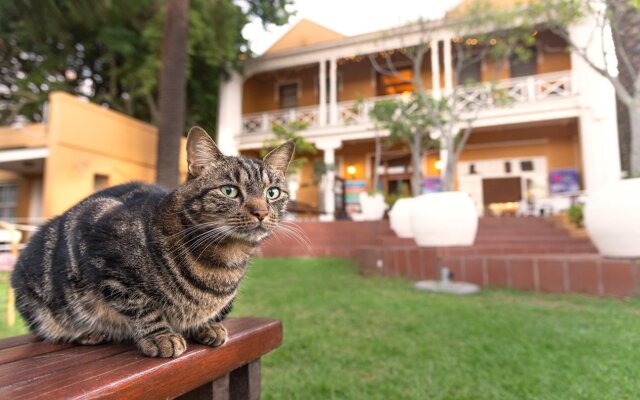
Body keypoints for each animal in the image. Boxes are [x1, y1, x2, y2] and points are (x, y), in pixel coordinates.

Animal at [10, 127, 296, 356]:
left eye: (272, 193)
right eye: (230, 191)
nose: (261, 212)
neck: (224, 261)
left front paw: (208, 326)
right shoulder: (102, 245)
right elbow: (141, 306)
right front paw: (161, 336)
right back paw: (87, 333)